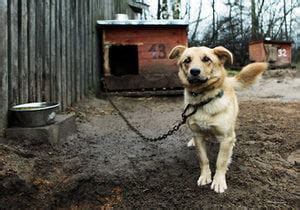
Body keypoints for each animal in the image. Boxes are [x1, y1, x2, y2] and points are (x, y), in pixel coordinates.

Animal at [169, 46, 268, 194]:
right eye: (187, 60)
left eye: (206, 59)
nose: (194, 71)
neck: (203, 100)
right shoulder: (198, 135)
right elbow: (203, 159)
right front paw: (205, 176)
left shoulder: (226, 138)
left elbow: (220, 161)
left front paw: (219, 181)